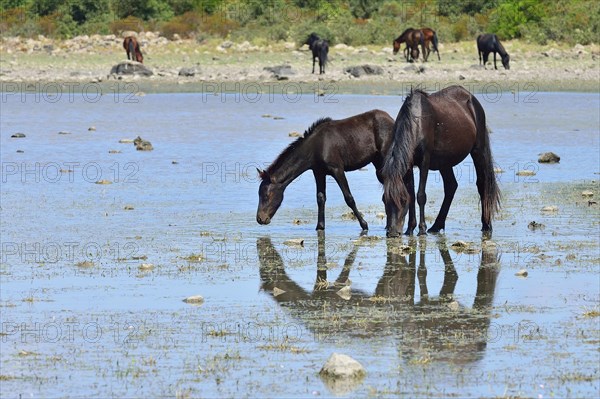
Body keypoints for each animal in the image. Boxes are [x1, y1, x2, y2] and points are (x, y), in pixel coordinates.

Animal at [255, 111, 396, 233]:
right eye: (259, 194)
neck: (315, 148)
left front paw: (364, 225)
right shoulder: (318, 172)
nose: (260, 219)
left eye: (266, 196)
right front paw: (320, 226)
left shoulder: (337, 170)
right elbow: (320, 198)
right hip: (377, 163)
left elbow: (349, 198)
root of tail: (391, 120)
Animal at [380, 83, 502, 234]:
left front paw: (422, 228)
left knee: (482, 184)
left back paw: (486, 225)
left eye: (402, 201)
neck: (416, 122)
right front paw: (410, 229)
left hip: (478, 151)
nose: (392, 232)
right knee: (451, 186)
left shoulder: (424, 162)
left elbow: (420, 195)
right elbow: (412, 195)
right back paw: (437, 225)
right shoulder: (408, 164)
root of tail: (471, 98)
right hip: (445, 162)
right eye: (384, 200)